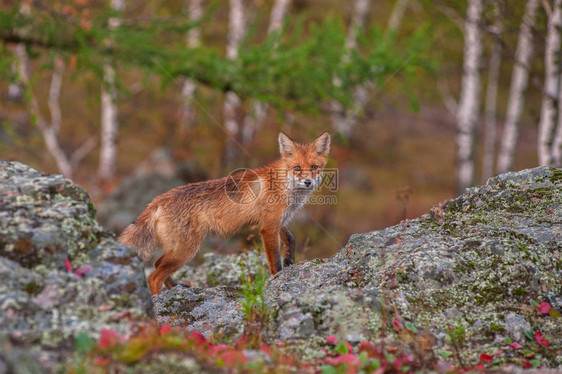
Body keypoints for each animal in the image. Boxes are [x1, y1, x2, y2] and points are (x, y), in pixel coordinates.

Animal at [118, 131, 328, 296]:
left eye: (314, 167)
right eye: (297, 168)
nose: (308, 182)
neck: (286, 187)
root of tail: (157, 200)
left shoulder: (278, 221)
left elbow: (290, 239)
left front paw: (290, 259)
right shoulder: (268, 227)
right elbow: (275, 262)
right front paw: (279, 278)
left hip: (175, 248)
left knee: (156, 264)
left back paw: (177, 288)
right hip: (186, 250)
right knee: (154, 276)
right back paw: (157, 301)